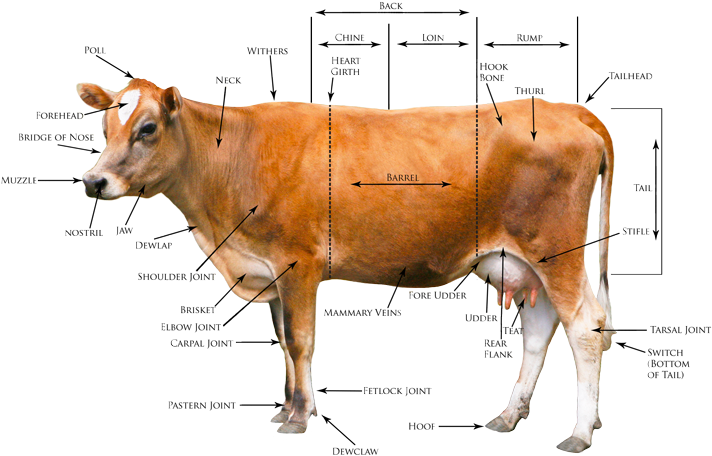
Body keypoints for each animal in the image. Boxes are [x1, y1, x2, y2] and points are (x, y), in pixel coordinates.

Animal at [77, 78, 614, 452]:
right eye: (105, 128)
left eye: (147, 128)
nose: (93, 181)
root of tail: (562, 109)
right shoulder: (271, 273)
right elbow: (284, 344)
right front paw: (286, 408)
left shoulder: (298, 262)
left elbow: (301, 342)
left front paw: (298, 418)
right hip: (522, 261)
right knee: (540, 327)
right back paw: (508, 416)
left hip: (556, 251)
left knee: (585, 326)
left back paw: (580, 433)